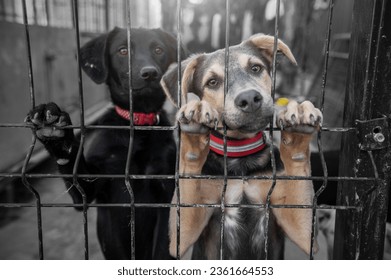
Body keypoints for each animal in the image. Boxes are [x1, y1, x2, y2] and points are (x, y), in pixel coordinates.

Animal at [26, 27, 185, 260]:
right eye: (122, 50)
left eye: (158, 50)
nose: (150, 73)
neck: (137, 125)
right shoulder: (88, 191)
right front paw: (57, 135)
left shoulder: (166, 194)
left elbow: (162, 248)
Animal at [161, 34, 324, 260]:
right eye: (212, 82)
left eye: (255, 68)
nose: (249, 99)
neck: (240, 156)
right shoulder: (181, 236)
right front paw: (195, 122)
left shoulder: (303, 230)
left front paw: (298, 121)